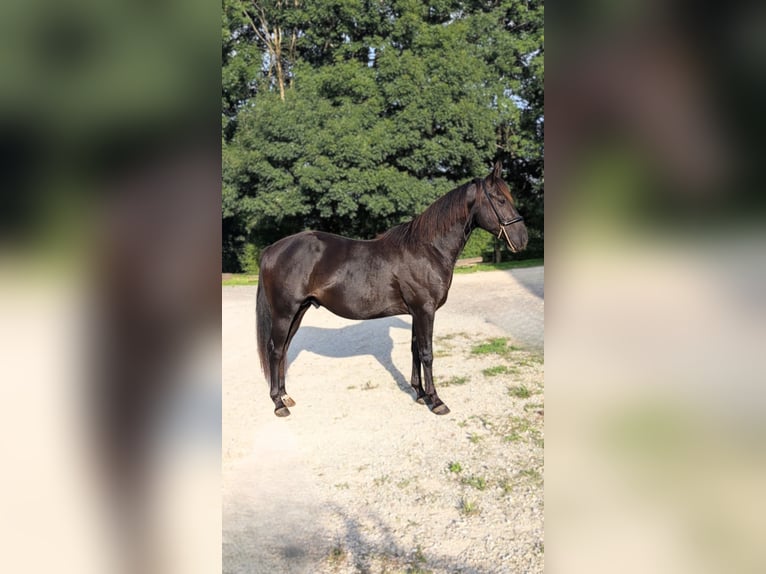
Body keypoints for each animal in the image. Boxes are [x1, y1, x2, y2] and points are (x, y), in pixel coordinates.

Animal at [256, 162, 528, 417]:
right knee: (276, 350)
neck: (426, 249)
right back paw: (279, 404)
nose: (523, 239)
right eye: (500, 199)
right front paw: (436, 401)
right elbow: (427, 353)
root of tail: (272, 249)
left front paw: (420, 394)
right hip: (284, 313)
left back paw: (286, 396)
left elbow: (415, 350)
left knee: (283, 350)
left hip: (298, 312)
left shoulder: (417, 312)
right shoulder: (425, 310)